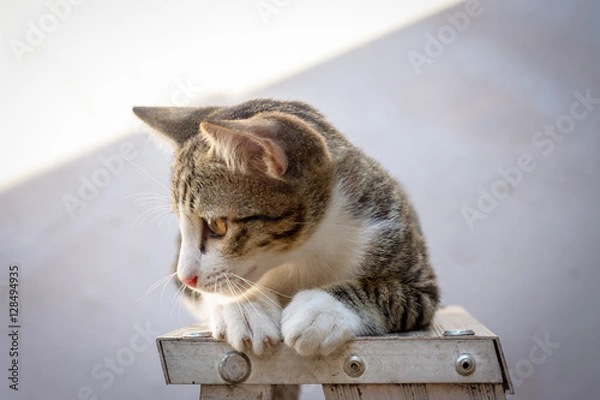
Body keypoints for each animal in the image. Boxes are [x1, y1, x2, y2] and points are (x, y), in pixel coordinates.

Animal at [134, 98, 438, 358]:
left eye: (217, 226)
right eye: (181, 227)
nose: (187, 277)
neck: (299, 256)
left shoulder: (410, 266)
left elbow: (391, 294)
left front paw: (321, 310)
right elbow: (215, 293)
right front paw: (246, 306)